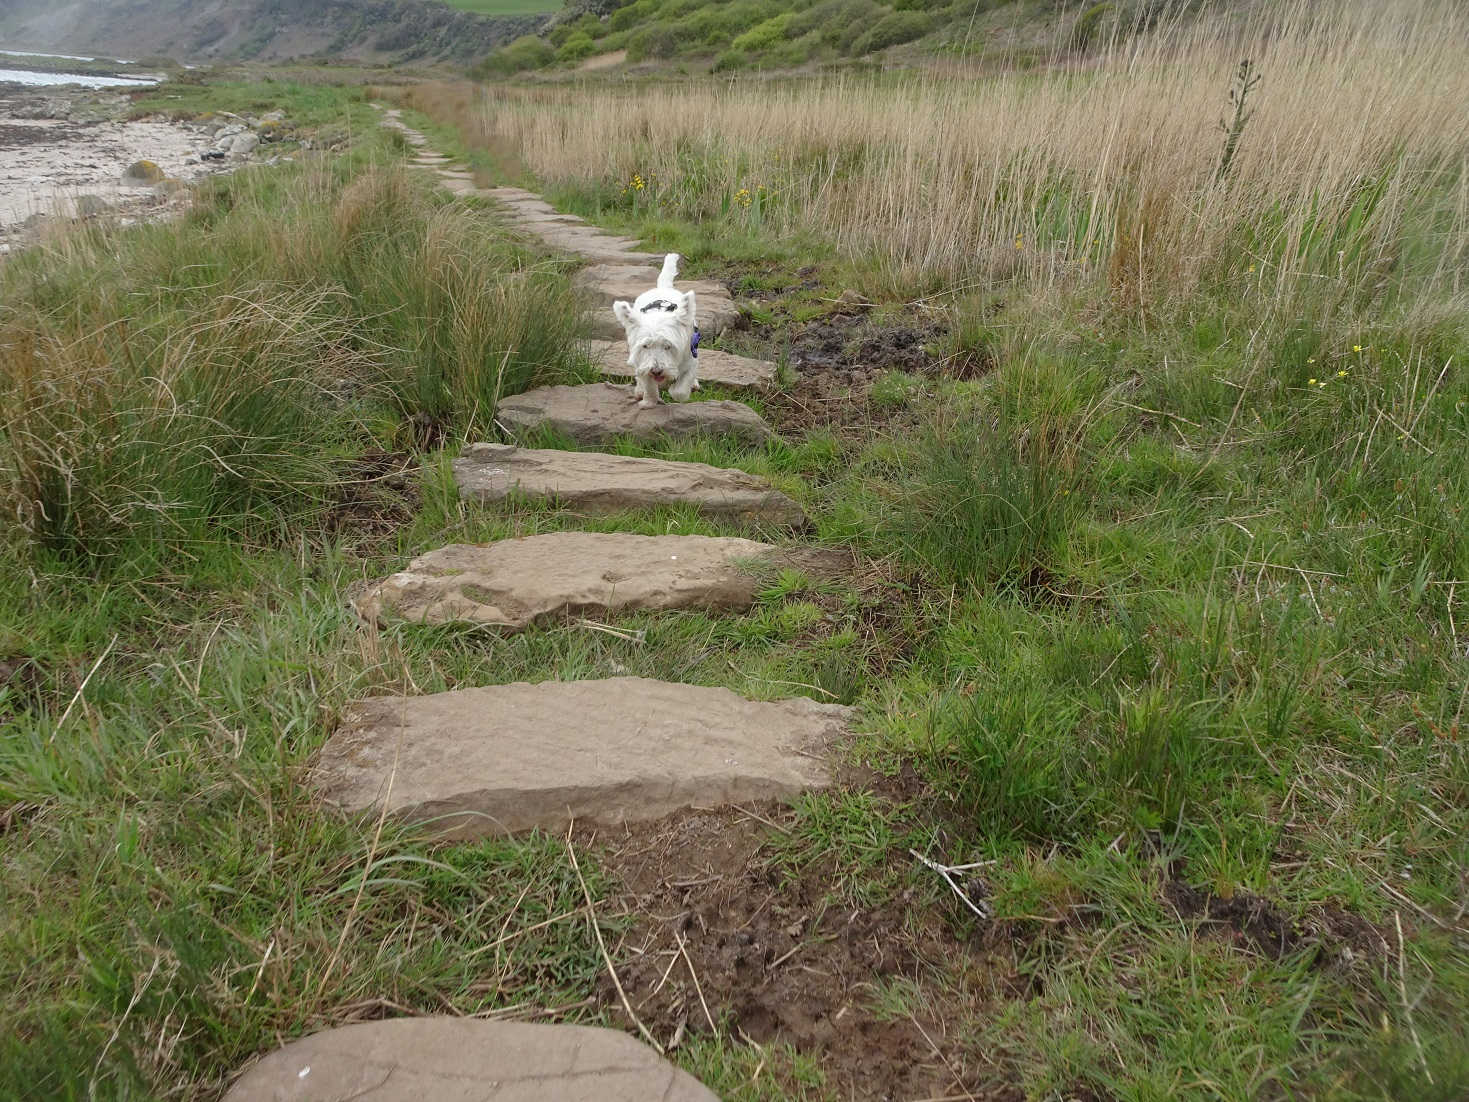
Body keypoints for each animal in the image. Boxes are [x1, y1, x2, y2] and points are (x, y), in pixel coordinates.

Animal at [611, 254, 696, 411]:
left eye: (668, 346)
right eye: (645, 346)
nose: (656, 371)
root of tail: (663, 288)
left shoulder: (690, 359)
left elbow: (679, 391)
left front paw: (676, 387)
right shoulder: (643, 360)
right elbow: (648, 383)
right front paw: (649, 402)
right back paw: (640, 390)